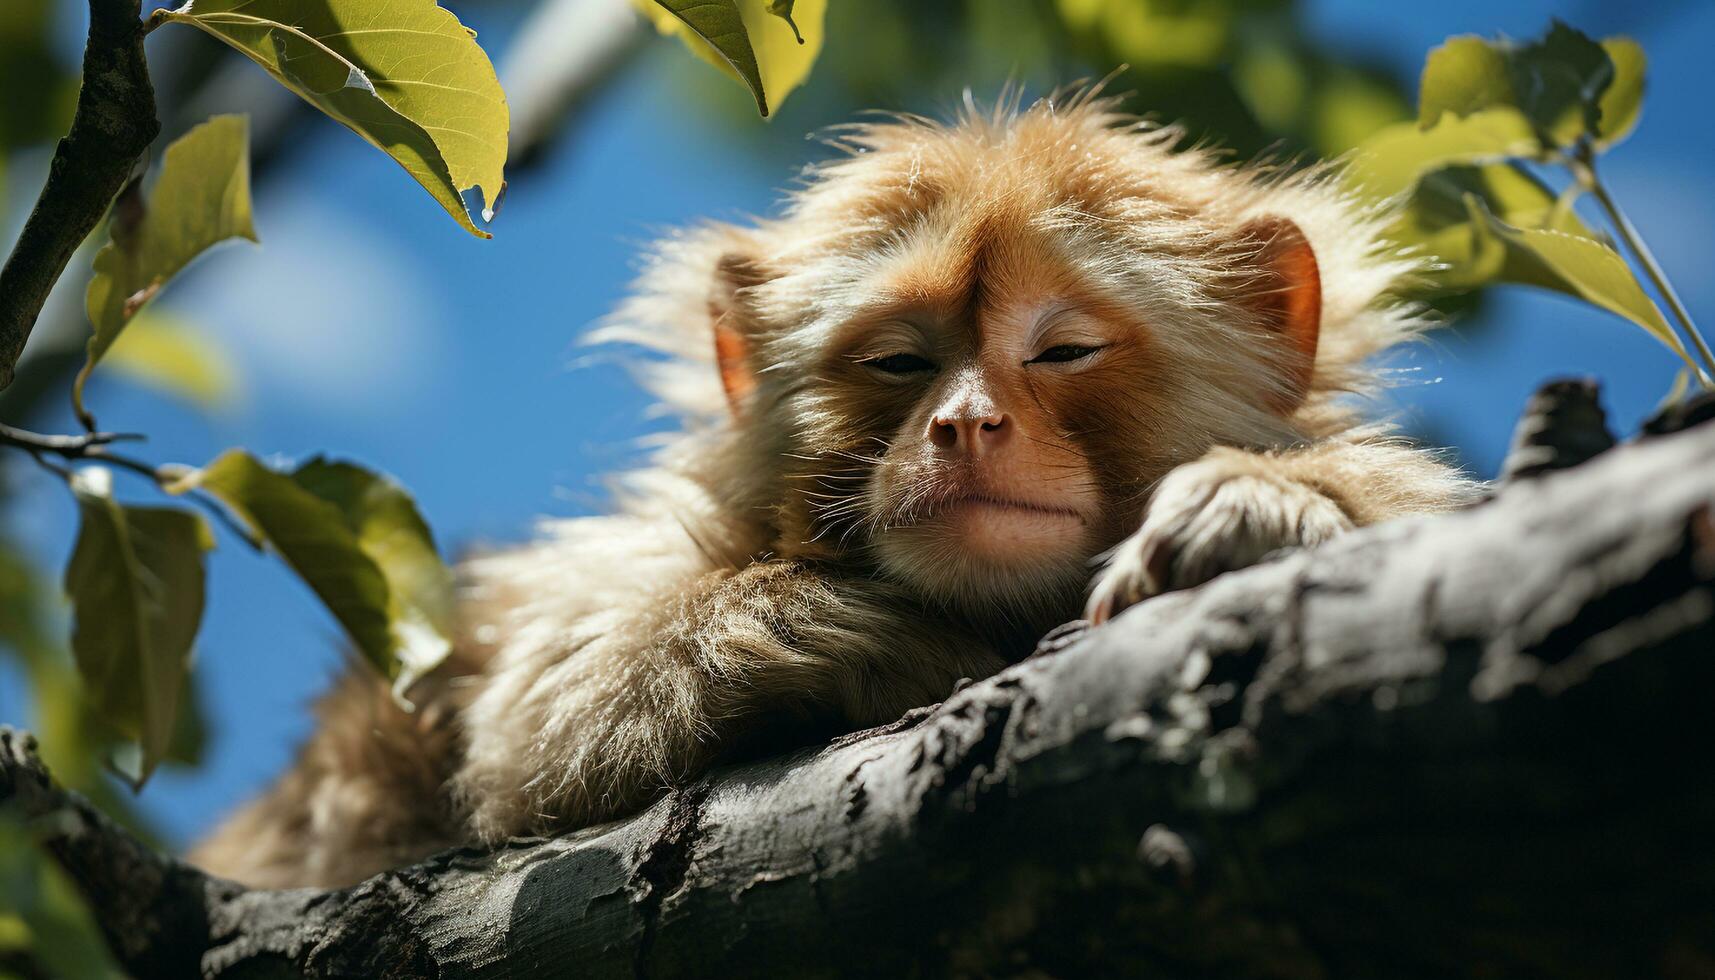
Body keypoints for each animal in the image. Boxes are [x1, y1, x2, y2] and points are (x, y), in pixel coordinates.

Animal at [187, 91, 1474, 892]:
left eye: (1062, 350)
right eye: (900, 360)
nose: (965, 423)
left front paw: (1266, 510)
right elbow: (535, 725)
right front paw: (839, 636)